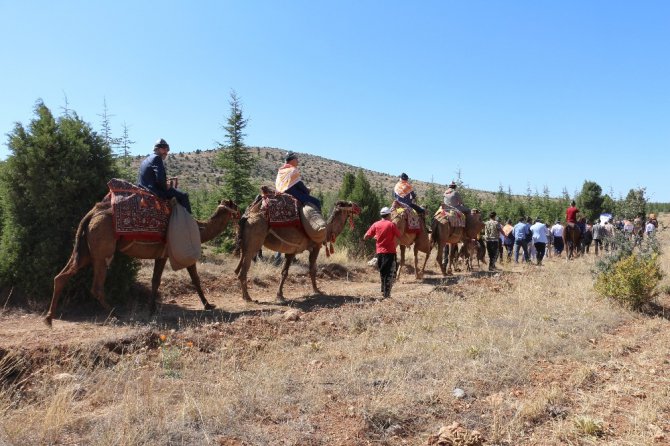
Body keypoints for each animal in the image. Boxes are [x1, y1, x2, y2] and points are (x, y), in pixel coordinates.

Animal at [44, 198, 240, 324]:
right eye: (235, 205)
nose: (242, 214)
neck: (199, 228)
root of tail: (92, 214)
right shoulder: (173, 252)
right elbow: (192, 279)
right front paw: (208, 304)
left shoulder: (161, 255)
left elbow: (155, 281)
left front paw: (152, 308)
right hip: (102, 250)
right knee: (96, 286)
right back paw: (115, 314)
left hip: (85, 249)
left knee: (61, 276)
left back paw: (49, 317)